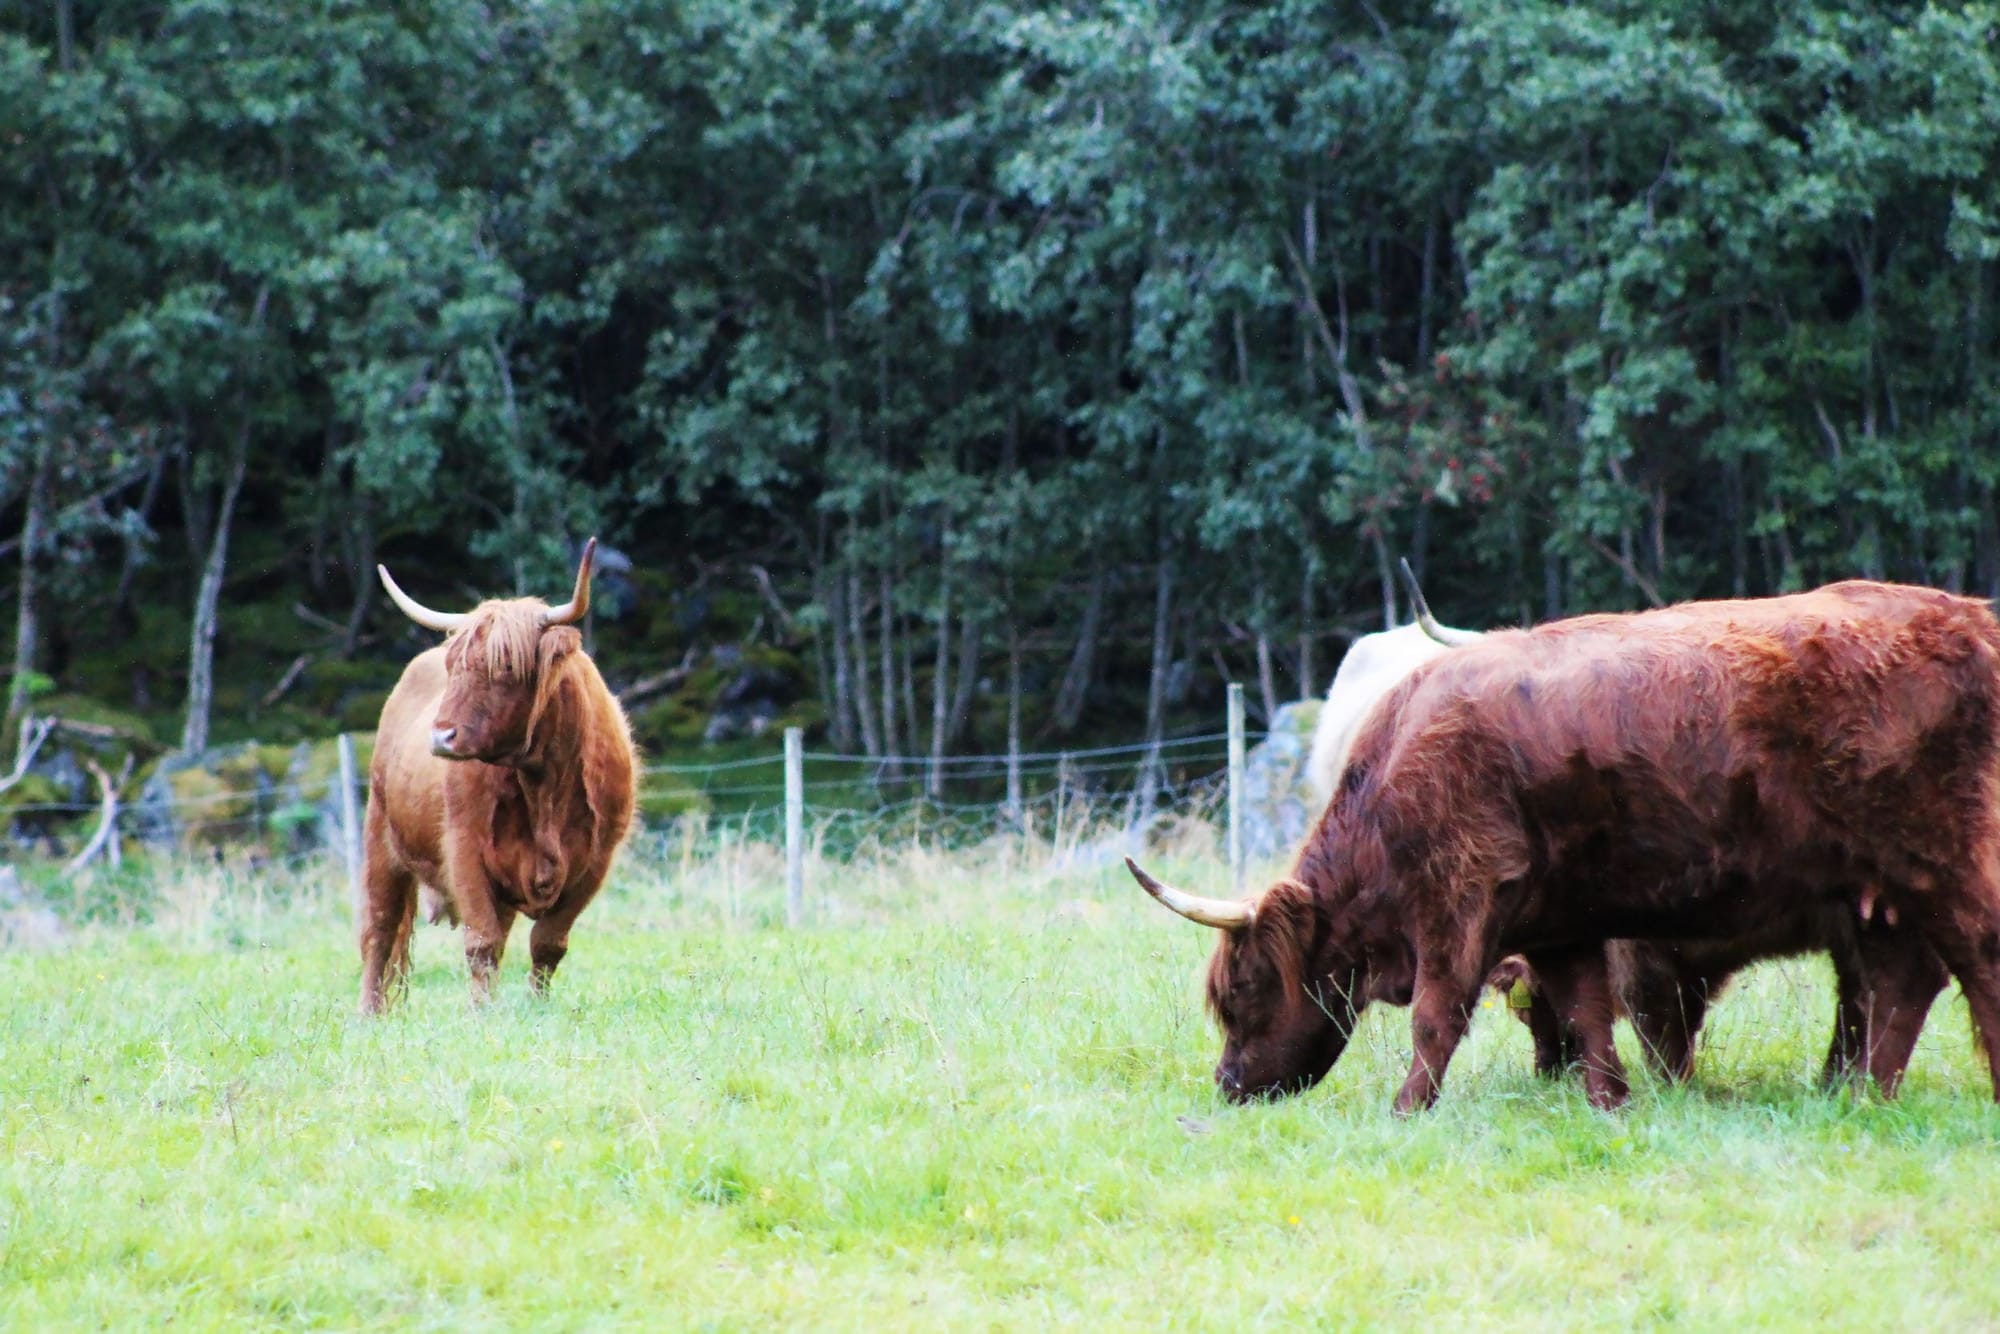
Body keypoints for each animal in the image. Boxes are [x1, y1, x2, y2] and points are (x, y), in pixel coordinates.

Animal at [360, 540, 636, 1012]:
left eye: (505, 665)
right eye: (454, 666)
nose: (441, 736)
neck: (542, 783)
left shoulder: (596, 861)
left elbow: (548, 943)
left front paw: (537, 1006)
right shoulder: (464, 848)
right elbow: (481, 942)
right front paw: (481, 1014)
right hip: (381, 841)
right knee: (379, 930)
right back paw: (368, 1014)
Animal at [1128, 584, 2000, 1120]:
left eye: (1243, 990)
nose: (1228, 1085)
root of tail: (1966, 619)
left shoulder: (1459, 898)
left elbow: (1438, 1016)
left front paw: (1406, 1109)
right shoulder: (1561, 924)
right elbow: (1584, 1016)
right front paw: (1609, 1103)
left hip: (1943, 861)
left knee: (1970, 962)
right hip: (1876, 894)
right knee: (1897, 986)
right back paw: (1865, 1098)